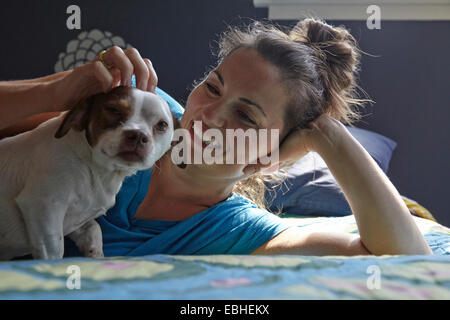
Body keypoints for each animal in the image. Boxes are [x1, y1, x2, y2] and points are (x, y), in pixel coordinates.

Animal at [0, 85, 178, 260]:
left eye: (162, 125)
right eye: (113, 109)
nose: (138, 135)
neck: (95, 170)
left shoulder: (76, 221)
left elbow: (94, 229)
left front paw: (95, 254)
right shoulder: (42, 206)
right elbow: (54, 252)